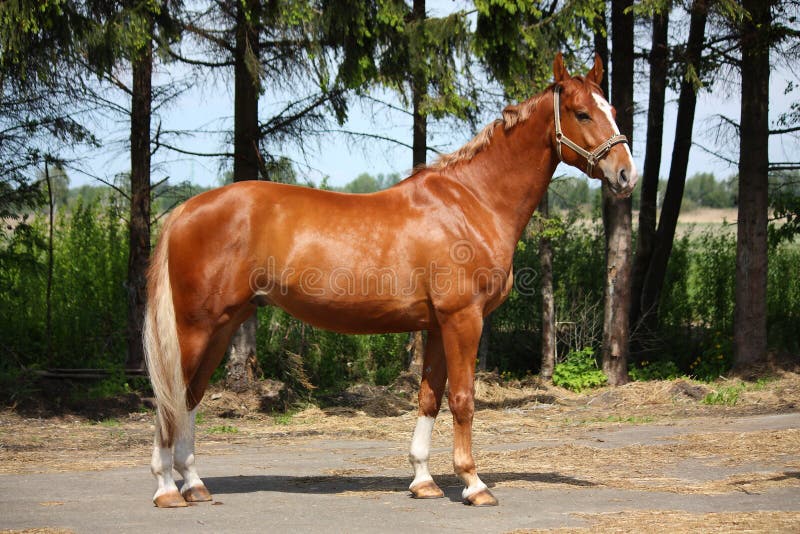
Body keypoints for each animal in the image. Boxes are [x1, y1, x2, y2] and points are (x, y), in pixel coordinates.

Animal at [143, 52, 637, 508]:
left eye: (611, 107)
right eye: (581, 113)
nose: (626, 174)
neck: (472, 202)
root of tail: (185, 210)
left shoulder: (437, 325)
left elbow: (428, 398)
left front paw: (423, 481)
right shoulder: (463, 320)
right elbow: (463, 399)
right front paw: (474, 484)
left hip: (223, 324)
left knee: (190, 397)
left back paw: (194, 484)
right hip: (196, 327)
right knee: (170, 399)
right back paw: (166, 488)